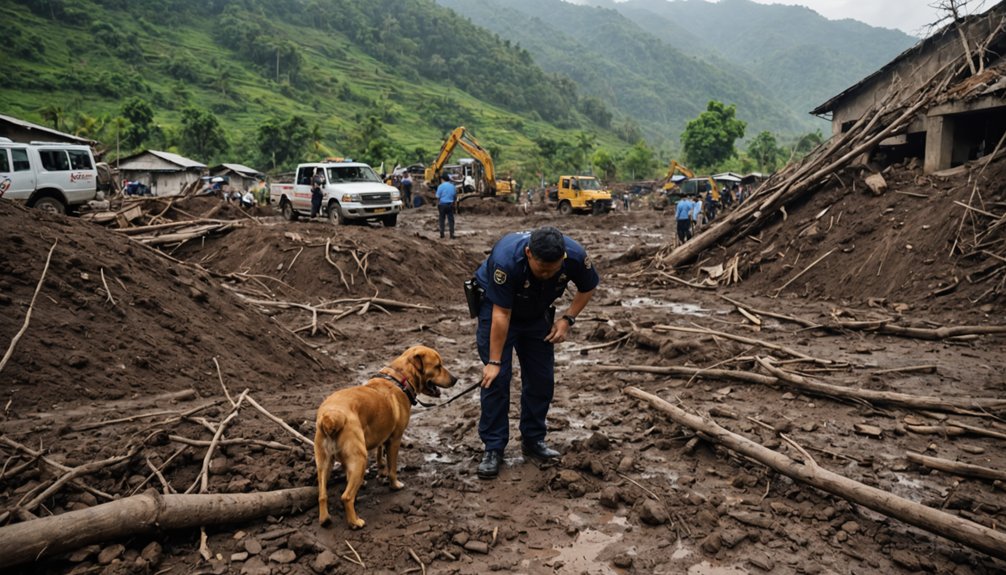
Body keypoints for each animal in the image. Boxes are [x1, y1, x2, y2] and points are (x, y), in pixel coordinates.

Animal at [311, 343, 458, 526]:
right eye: (438, 366)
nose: (455, 379)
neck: (400, 378)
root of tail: (330, 417)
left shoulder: (382, 433)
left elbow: (380, 453)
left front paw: (380, 470)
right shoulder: (395, 439)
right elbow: (392, 468)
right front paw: (394, 484)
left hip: (323, 462)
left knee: (322, 495)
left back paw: (325, 518)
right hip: (359, 459)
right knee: (346, 497)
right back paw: (355, 522)